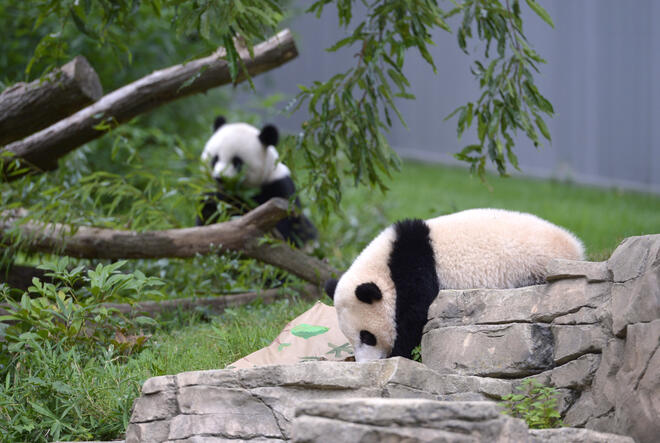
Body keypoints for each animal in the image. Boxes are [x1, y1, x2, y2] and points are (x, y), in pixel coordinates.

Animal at [196, 118, 318, 248]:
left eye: (237, 162)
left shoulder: (278, 186)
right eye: (215, 159)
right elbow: (209, 213)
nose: (220, 178)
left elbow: (285, 220)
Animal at [324, 208, 584, 360]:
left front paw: (399, 354)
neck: (385, 264)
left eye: (367, 337)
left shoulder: (415, 270)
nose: (365, 364)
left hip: (532, 267)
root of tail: (575, 248)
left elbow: (415, 319)